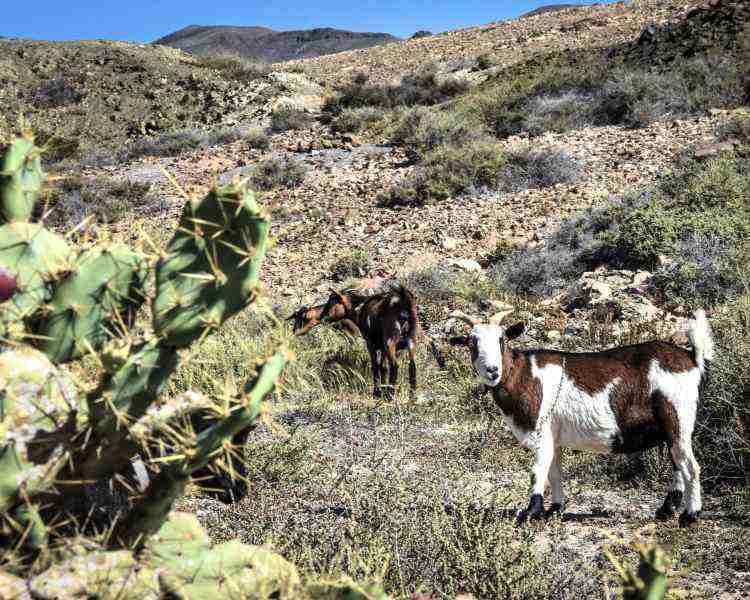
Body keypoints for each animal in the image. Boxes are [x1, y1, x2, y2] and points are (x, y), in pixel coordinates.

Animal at [449, 310, 714, 527]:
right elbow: (554, 471)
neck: (525, 375)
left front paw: (531, 513)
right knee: (677, 463)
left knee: (691, 466)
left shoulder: (541, 432)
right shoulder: (553, 437)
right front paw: (555, 510)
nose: (492, 370)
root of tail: (691, 358)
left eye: (502, 339)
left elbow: (537, 470)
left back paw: (690, 516)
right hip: (670, 428)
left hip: (678, 418)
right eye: (472, 342)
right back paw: (665, 511)